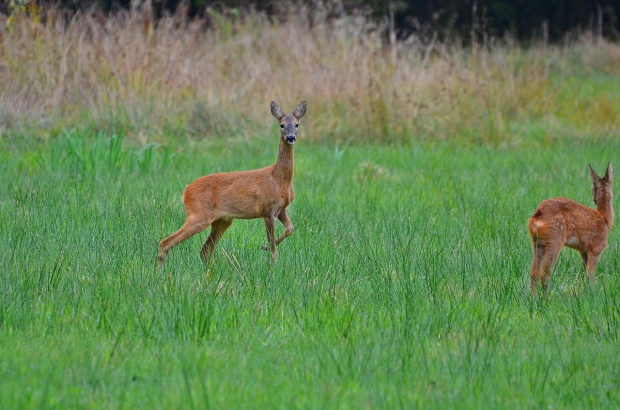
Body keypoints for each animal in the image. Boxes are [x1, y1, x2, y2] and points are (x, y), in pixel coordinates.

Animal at [157, 101, 308, 270]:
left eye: (297, 124)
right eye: (281, 125)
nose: (290, 137)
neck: (279, 179)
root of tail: (186, 190)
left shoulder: (281, 209)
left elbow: (290, 228)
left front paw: (264, 247)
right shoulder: (268, 210)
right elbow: (274, 249)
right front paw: (271, 265)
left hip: (223, 220)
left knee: (204, 250)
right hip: (199, 215)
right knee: (165, 243)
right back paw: (160, 272)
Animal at [524, 162, 612, 296]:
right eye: (591, 189)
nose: (594, 199)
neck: (605, 219)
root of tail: (537, 216)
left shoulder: (583, 251)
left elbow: (586, 276)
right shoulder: (596, 248)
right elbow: (591, 276)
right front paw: (592, 294)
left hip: (537, 242)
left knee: (534, 273)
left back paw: (533, 298)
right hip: (555, 239)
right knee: (544, 274)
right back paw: (546, 299)